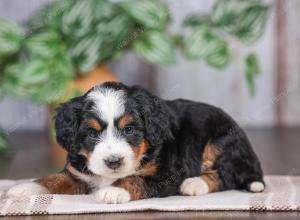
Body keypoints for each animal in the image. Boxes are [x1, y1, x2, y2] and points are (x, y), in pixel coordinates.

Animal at [6, 81, 264, 204]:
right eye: (91, 133)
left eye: (129, 130)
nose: (113, 162)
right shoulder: (78, 173)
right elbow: (55, 178)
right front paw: (25, 188)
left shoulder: (167, 174)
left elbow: (136, 180)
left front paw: (114, 191)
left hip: (221, 140)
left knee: (227, 175)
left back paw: (194, 183)